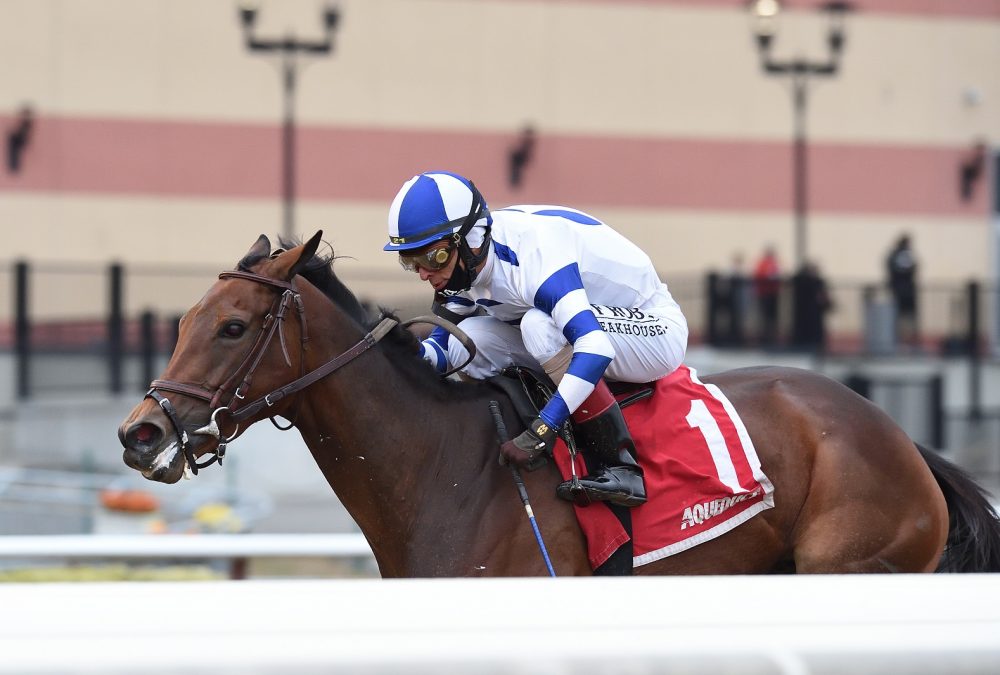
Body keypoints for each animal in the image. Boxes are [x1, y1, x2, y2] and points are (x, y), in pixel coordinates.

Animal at [117, 234, 1000, 576]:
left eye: (233, 326)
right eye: (185, 320)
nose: (140, 430)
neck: (443, 470)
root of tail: (902, 438)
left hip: (852, 560)